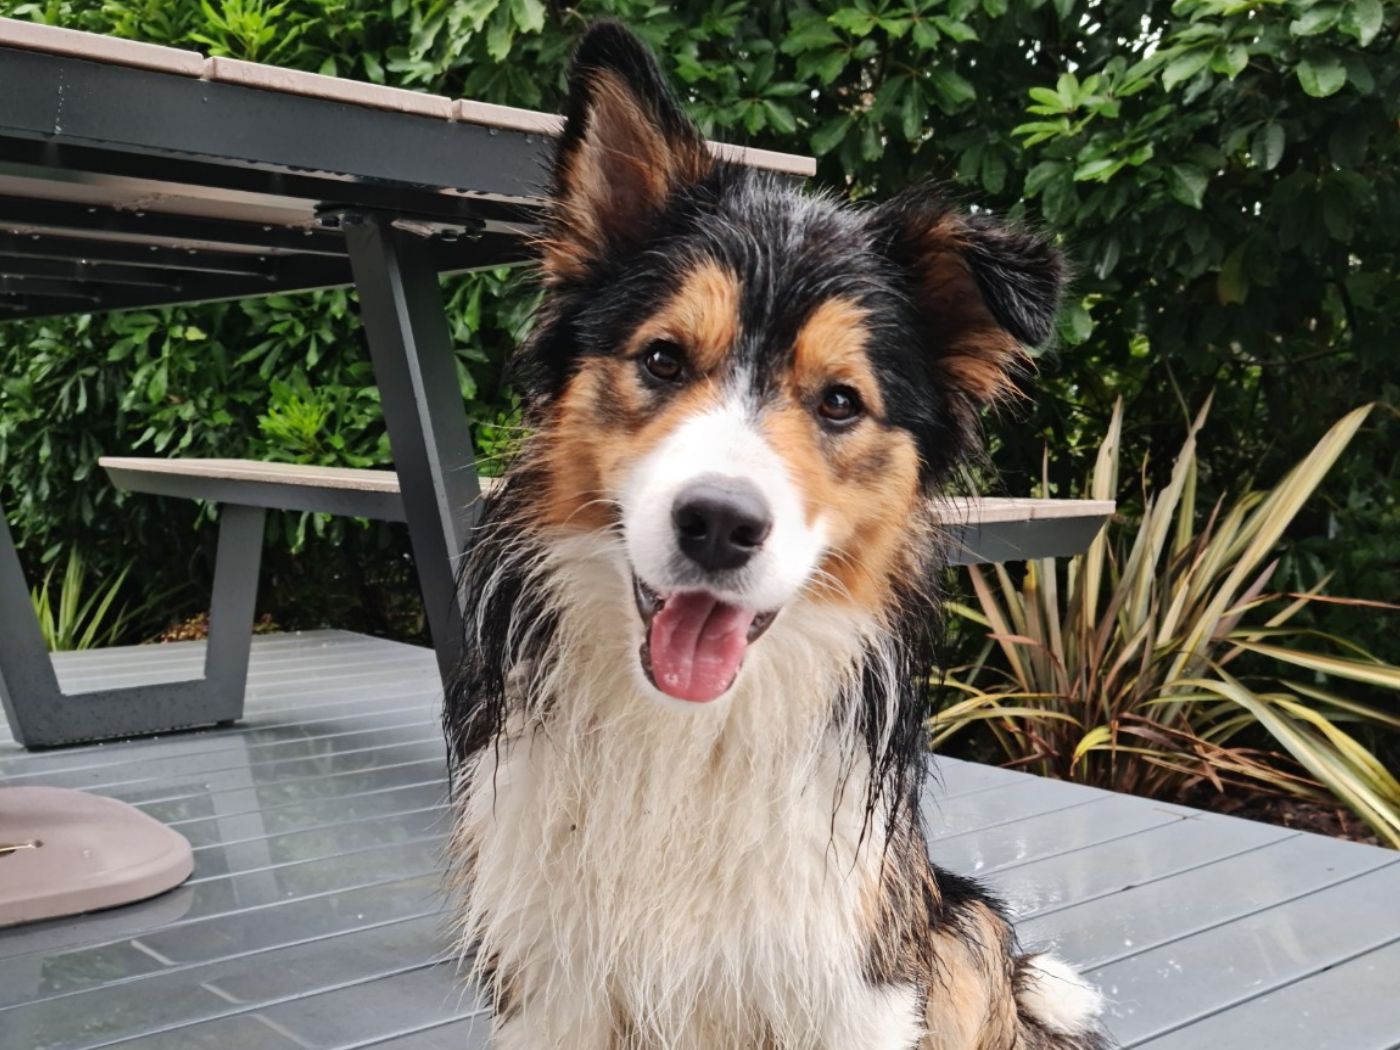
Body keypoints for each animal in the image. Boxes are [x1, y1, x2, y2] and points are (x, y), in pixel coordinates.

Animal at [442, 22, 1108, 1050]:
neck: (688, 737)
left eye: (840, 401)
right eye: (662, 358)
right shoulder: (551, 985)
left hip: (957, 931)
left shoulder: (854, 980)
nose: (719, 523)